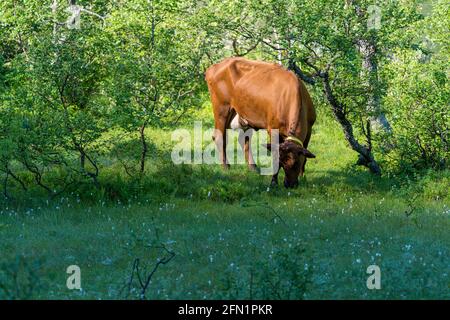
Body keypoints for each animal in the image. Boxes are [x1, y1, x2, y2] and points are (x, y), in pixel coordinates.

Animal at [205, 57, 316, 188]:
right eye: (282, 163)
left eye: (296, 163)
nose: (289, 184)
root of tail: (215, 66)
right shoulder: (272, 129)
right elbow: (274, 154)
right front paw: (273, 181)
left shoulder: (309, 128)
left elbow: (305, 155)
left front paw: (303, 177)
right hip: (222, 109)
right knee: (219, 137)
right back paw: (225, 166)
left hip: (245, 114)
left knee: (244, 139)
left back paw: (253, 167)